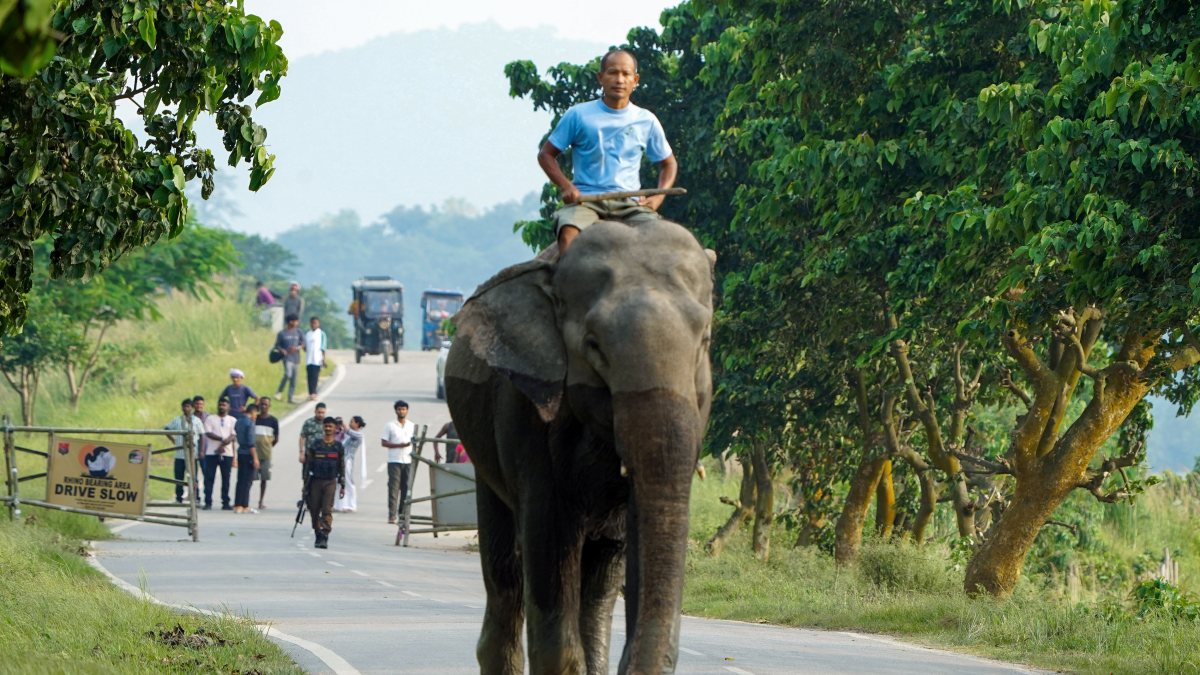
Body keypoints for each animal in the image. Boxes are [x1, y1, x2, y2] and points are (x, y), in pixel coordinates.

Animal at [445, 217, 713, 674]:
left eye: (705, 341)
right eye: (593, 346)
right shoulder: (526, 415)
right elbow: (549, 540)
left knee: (601, 578)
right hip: (481, 454)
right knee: (505, 573)